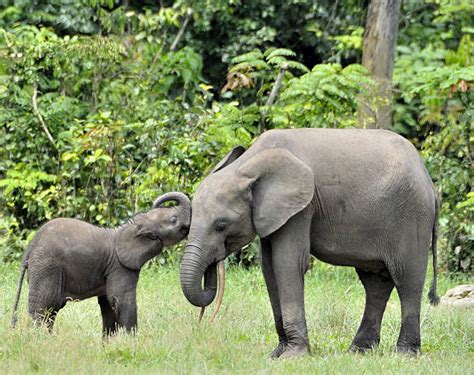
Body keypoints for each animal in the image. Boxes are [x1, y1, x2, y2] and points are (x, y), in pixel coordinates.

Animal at [10, 192, 191, 336]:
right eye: (173, 220)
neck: (130, 227)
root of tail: (30, 247)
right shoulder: (121, 267)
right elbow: (122, 300)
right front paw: (131, 342)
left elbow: (108, 306)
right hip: (47, 267)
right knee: (44, 308)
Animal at [180, 129, 438, 358]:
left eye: (221, 225)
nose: (203, 322)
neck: (248, 164)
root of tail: (429, 181)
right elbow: (269, 269)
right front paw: (277, 353)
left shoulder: (301, 208)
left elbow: (287, 264)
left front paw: (293, 356)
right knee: (375, 283)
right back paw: (358, 351)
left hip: (412, 215)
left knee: (407, 279)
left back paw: (405, 354)